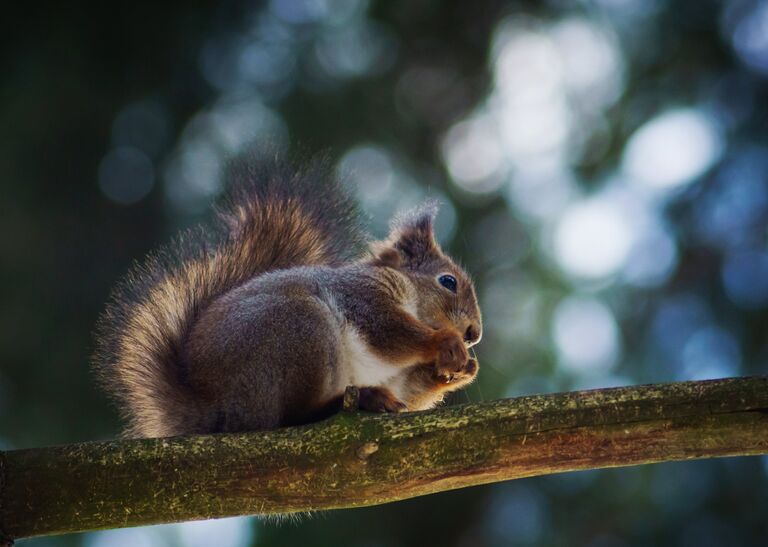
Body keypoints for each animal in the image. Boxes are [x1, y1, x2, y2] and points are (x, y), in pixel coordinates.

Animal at [93, 154, 484, 436]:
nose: (473, 334)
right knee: (293, 416)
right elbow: (387, 330)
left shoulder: (399, 375)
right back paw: (358, 400)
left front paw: (464, 369)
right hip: (299, 329)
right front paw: (444, 342)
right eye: (448, 282)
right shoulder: (363, 295)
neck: (411, 294)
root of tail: (216, 409)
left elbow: (409, 385)